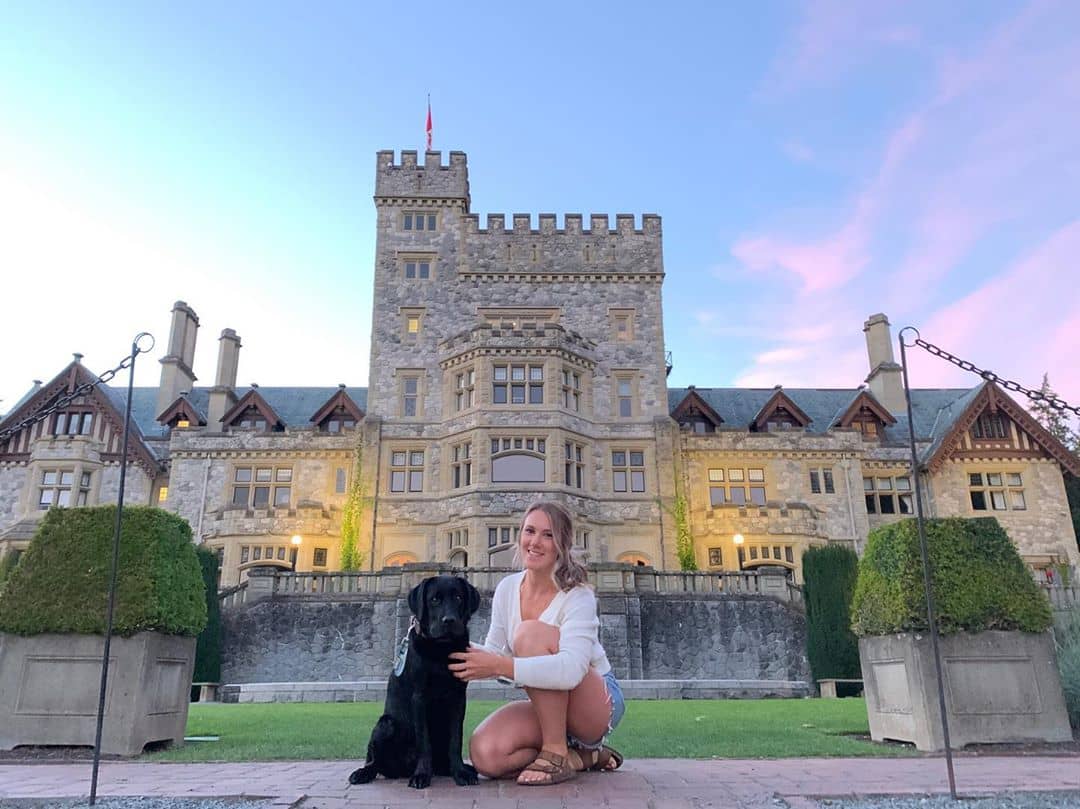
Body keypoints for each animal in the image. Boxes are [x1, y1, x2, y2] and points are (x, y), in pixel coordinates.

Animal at [347, 574, 483, 790]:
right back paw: (363, 773)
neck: (441, 652)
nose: (449, 621)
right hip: (385, 724)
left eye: (459, 598)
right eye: (434, 599)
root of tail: (401, 770)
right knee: (374, 762)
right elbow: (424, 742)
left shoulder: (458, 699)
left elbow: (456, 740)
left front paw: (460, 772)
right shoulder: (419, 698)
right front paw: (421, 775)